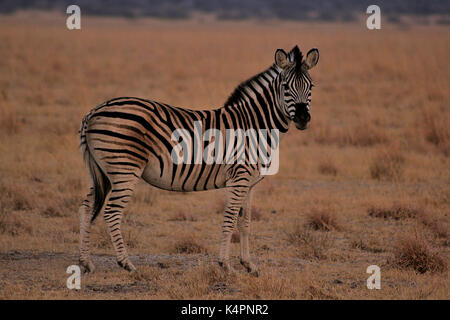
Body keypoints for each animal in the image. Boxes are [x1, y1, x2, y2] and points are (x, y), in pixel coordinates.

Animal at [78, 45, 316, 276]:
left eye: (311, 86)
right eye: (285, 87)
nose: (303, 118)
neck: (255, 125)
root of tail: (93, 111)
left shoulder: (250, 183)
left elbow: (245, 222)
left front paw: (248, 265)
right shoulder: (239, 178)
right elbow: (230, 220)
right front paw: (226, 265)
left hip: (102, 172)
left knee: (87, 207)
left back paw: (85, 263)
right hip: (124, 169)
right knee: (111, 212)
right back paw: (127, 264)